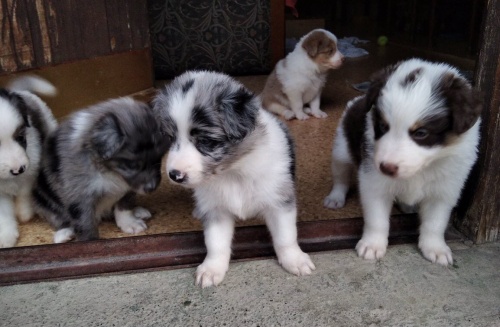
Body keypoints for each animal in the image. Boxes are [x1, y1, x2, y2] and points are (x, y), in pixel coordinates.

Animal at [0, 75, 57, 247]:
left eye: (20, 137)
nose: (18, 169)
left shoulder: (32, 168)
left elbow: (24, 191)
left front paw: (24, 212)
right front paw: (6, 236)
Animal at [33, 97, 170, 243]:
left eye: (158, 160)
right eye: (131, 165)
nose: (152, 188)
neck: (109, 170)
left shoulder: (128, 188)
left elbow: (123, 206)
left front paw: (129, 223)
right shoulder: (80, 198)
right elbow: (85, 224)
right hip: (43, 201)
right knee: (58, 218)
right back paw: (63, 233)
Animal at [153, 71, 316, 288]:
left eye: (205, 141)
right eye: (170, 138)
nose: (174, 175)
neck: (233, 172)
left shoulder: (279, 202)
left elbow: (285, 236)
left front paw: (294, 260)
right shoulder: (216, 210)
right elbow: (215, 243)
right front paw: (212, 268)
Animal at [322, 57, 482, 266]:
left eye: (421, 133)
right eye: (382, 126)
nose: (386, 168)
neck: (422, 169)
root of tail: (357, 100)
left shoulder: (444, 190)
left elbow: (435, 223)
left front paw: (435, 248)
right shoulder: (374, 182)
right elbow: (377, 220)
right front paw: (373, 244)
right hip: (341, 150)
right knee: (341, 177)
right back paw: (335, 198)